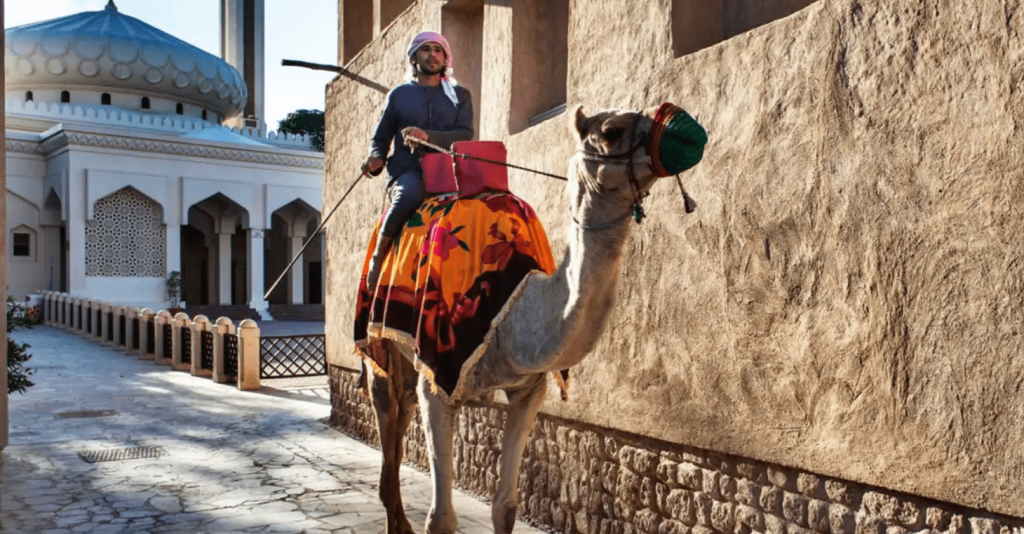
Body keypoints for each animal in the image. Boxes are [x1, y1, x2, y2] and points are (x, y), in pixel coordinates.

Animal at [368, 104, 696, 532]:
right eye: (611, 130)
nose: (686, 131)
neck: (513, 314)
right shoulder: (439, 375)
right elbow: (440, 519)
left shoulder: (529, 390)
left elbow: (505, 505)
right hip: (376, 338)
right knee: (386, 405)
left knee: (402, 406)